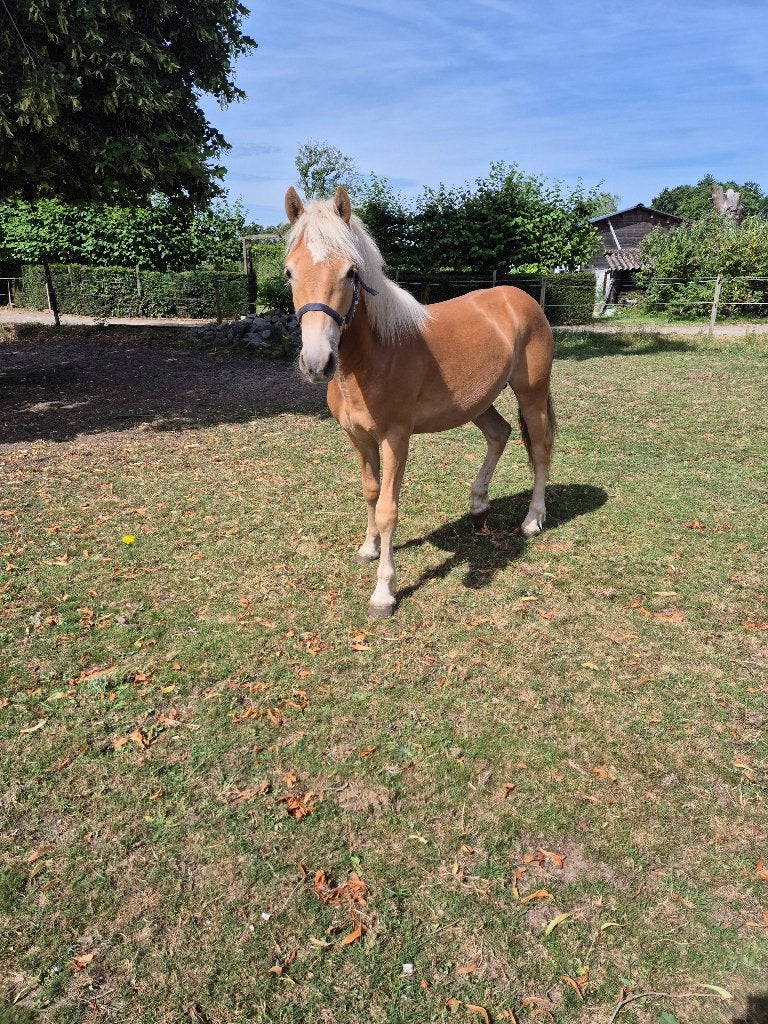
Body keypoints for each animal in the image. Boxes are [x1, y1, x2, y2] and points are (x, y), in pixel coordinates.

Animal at [284, 185, 557, 618]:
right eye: (290, 272)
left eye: (351, 273)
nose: (317, 363)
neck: (375, 354)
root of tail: (521, 299)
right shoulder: (359, 439)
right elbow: (371, 493)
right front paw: (367, 548)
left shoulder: (395, 438)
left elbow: (388, 509)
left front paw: (383, 593)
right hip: (478, 402)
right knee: (500, 433)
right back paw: (478, 503)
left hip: (531, 393)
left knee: (541, 449)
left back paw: (533, 520)